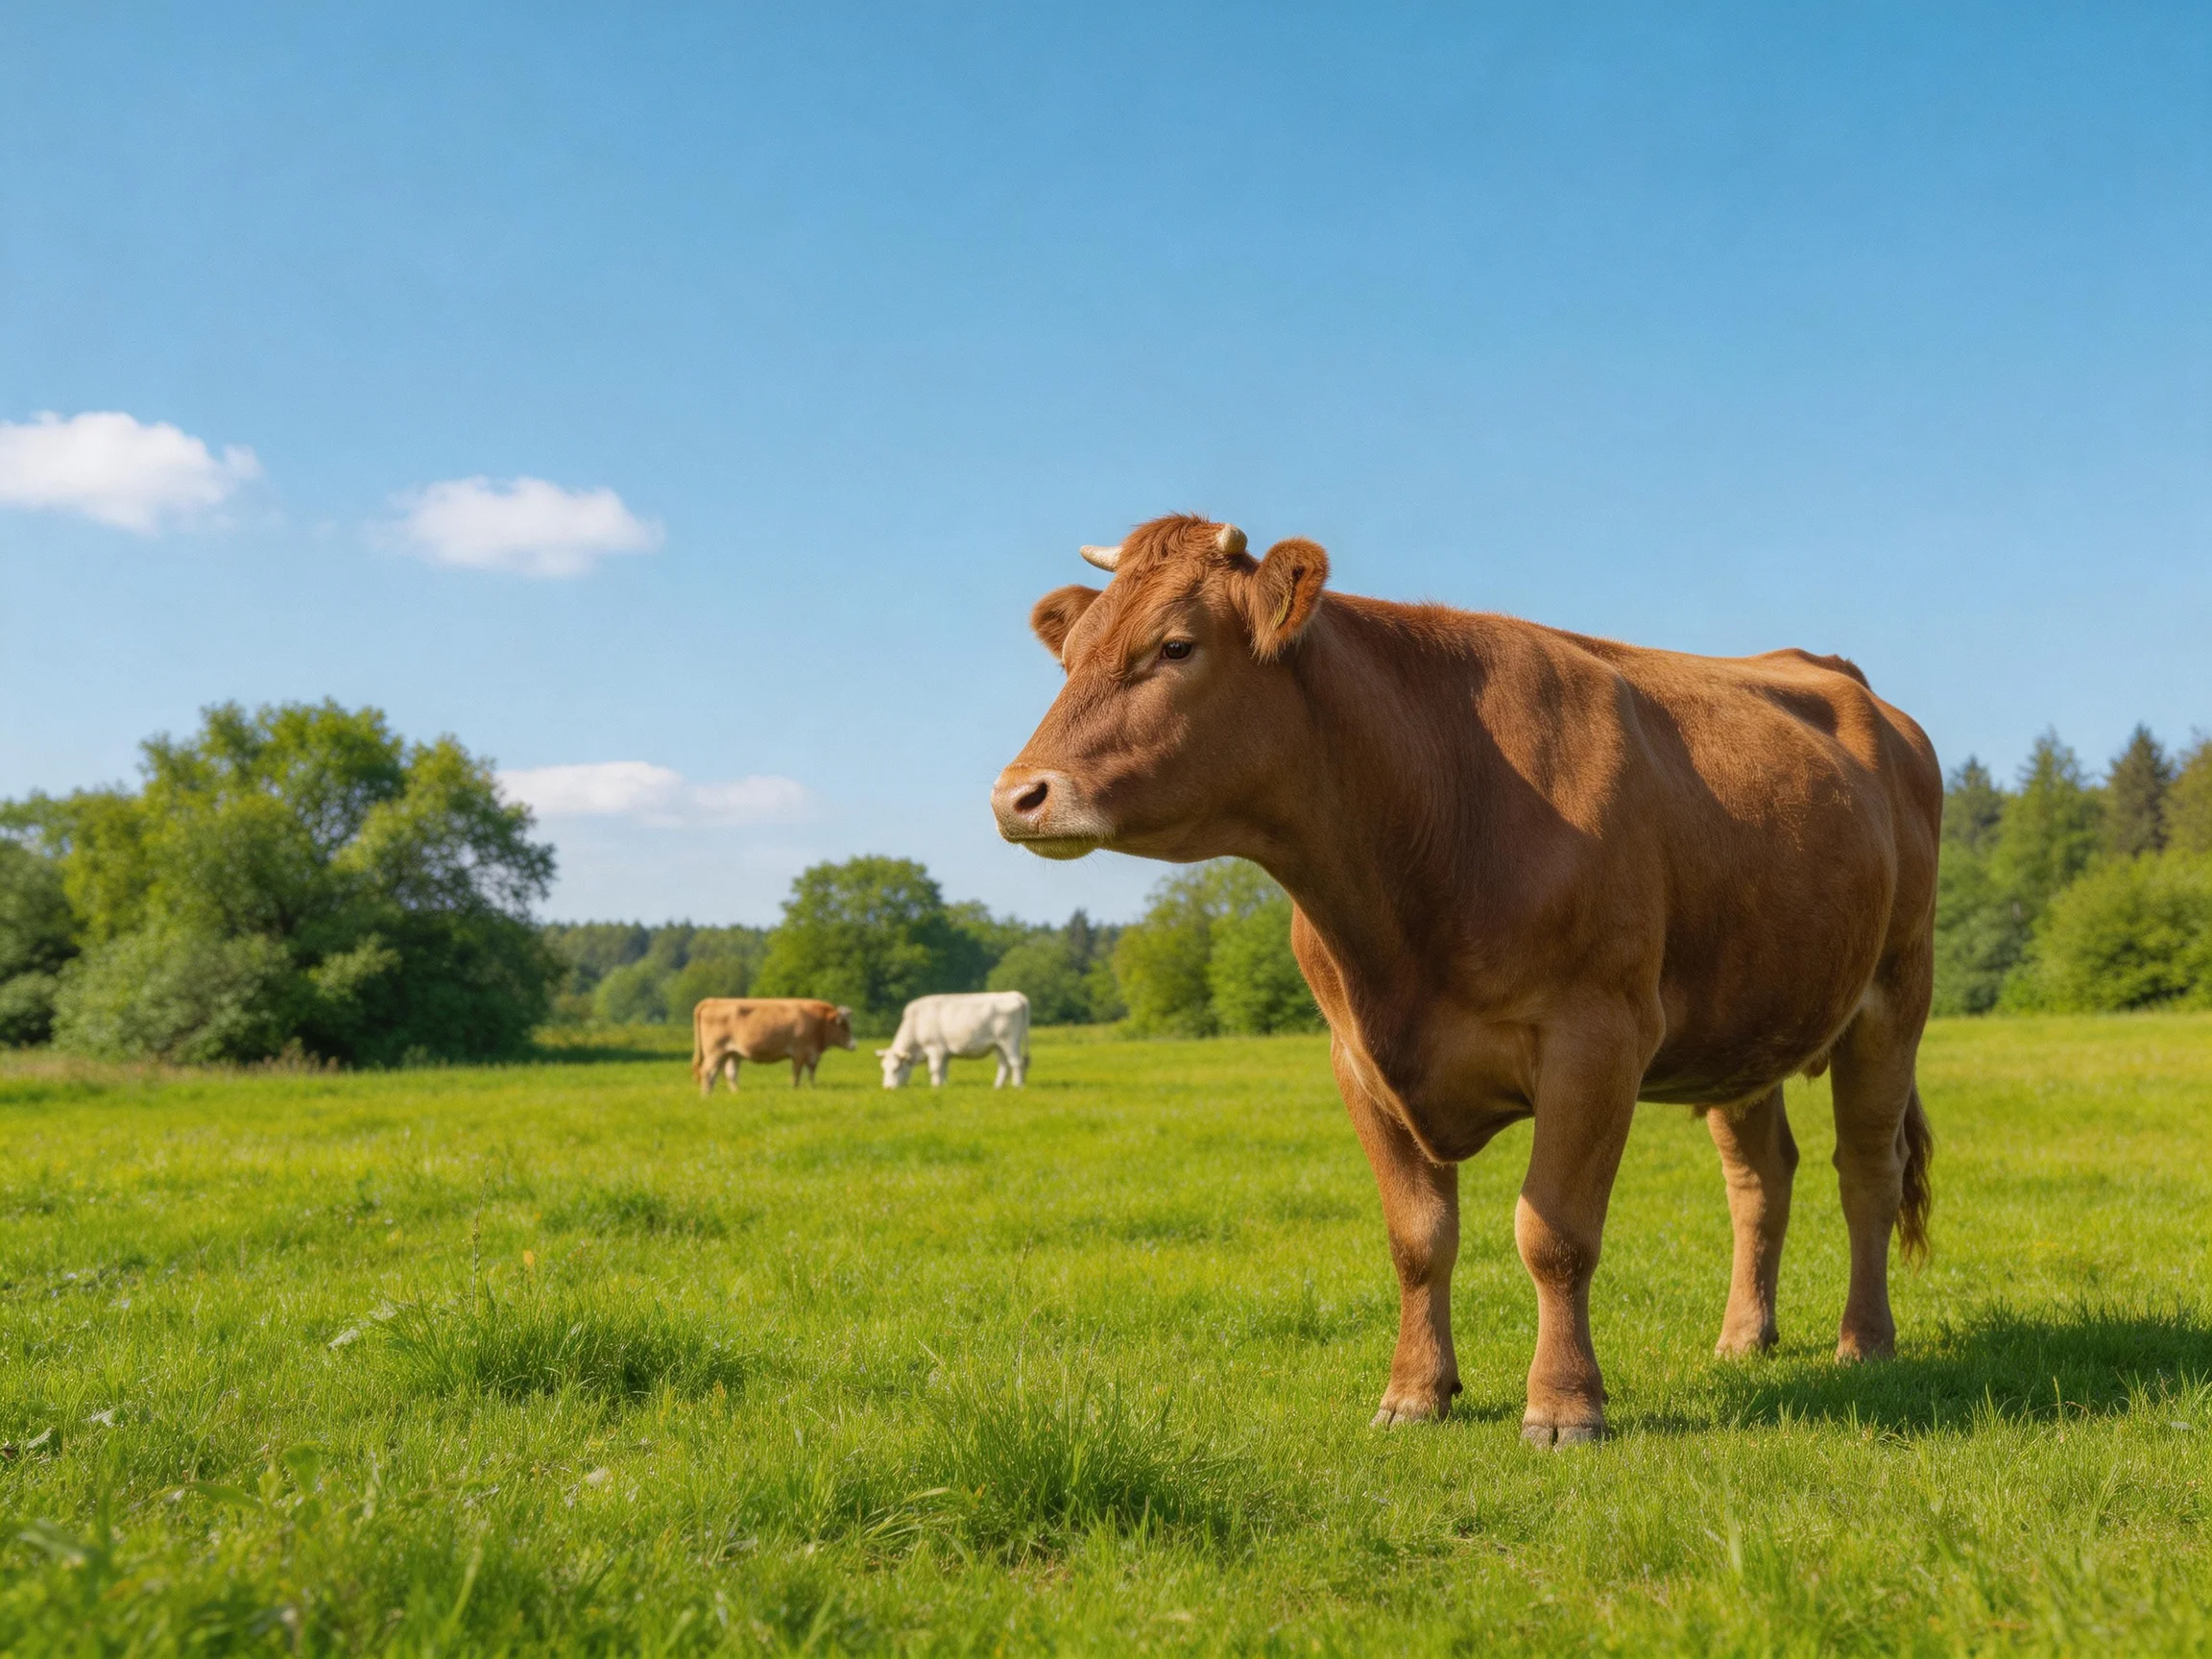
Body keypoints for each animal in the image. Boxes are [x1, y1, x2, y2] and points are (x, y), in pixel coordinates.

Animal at [691, 998, 856, 1094]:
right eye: (844, 1026)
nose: (854, 1044)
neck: (818, 1023)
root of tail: (714, 1000)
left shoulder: (811, 1054)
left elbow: (811, 1072)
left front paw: (813, 1088)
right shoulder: (799, 1052)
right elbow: (797, 1073)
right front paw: (795, 1089)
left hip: (731, 1053)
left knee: (728, 1073)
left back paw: (734, 1093)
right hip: (715, 1051)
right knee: (707, 1071)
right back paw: (706, 1095)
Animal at [877, 991, 1030, 1088]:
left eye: (896, 1068)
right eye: (883, 1068)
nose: (887, 1088)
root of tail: (1014, 995)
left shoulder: (935, 1049)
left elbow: (934, 1069)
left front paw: (935, 1086)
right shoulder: (944, 1052)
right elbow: (943, 1069)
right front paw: (943, 1085)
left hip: (1010, 1041)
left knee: (1016, 1063)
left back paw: (1017, 1085)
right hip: (998, 1045)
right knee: (1004, 1065)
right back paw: (997, 1086)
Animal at [992, 514, 1940, 1447]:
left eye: (1177, 646)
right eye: (1072, 655)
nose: (1016, 796)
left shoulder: (1597, 1038)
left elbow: (1554, 1233)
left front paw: (1564, 1406)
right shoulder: (1356, 1059)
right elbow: (1418, 1238)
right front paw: (1415, 1392)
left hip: (1895, 996)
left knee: (1867, 1168)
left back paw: (1865, 1341)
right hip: (1748, 1027)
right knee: (1761, 1178)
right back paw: (1744, 1336)